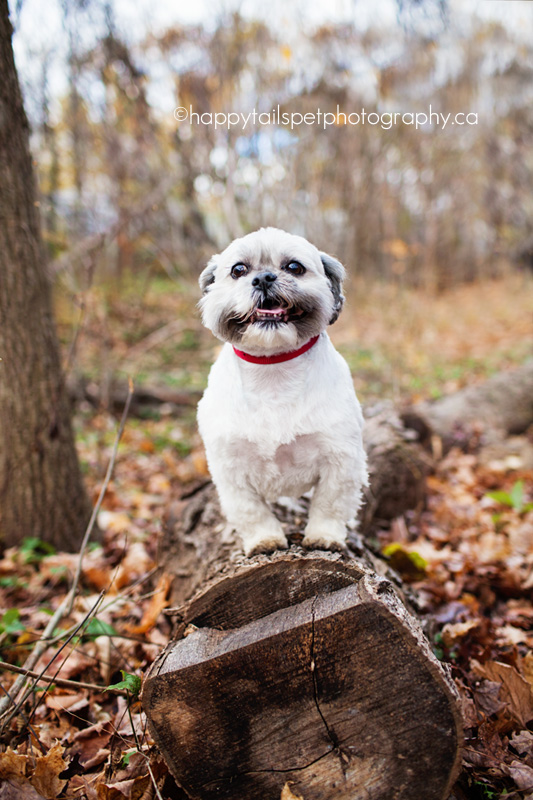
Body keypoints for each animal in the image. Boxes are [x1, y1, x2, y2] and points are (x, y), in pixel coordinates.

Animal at [195, 227, 366, 556]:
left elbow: (330, 503)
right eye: (238, 270)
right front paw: (265, 539)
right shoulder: (230, 465)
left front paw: (324, 536)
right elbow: (250, 510)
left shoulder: (341, 458)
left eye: (294, 267)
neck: (273, 369)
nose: (263, 278)